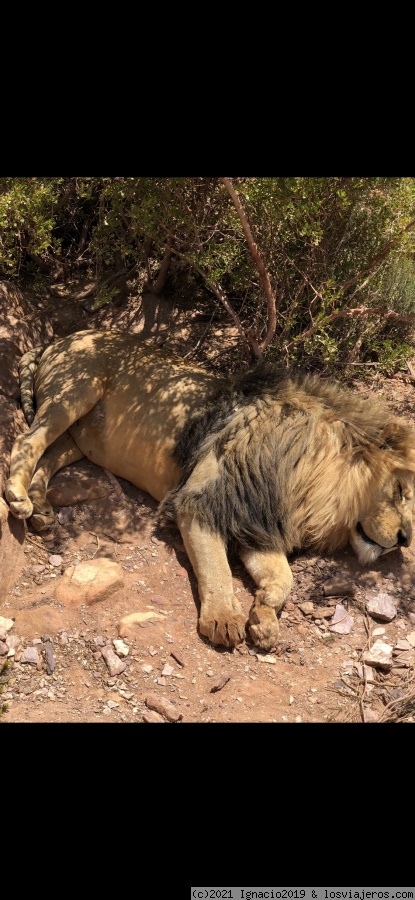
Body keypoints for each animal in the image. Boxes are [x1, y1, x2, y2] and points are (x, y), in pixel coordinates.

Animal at [4, 326, 415, 652]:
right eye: (398, 490)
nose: (404, 540)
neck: (308, 481)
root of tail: (63, 336)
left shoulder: (255, 522)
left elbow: (283, 576)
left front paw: (264, 618)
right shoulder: (201, 502)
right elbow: (216, 567)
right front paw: (223, 618)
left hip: (81, 439)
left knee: (49, 455)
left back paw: (41, 511)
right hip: (76, 392)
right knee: (26, 440)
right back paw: (19, 498)